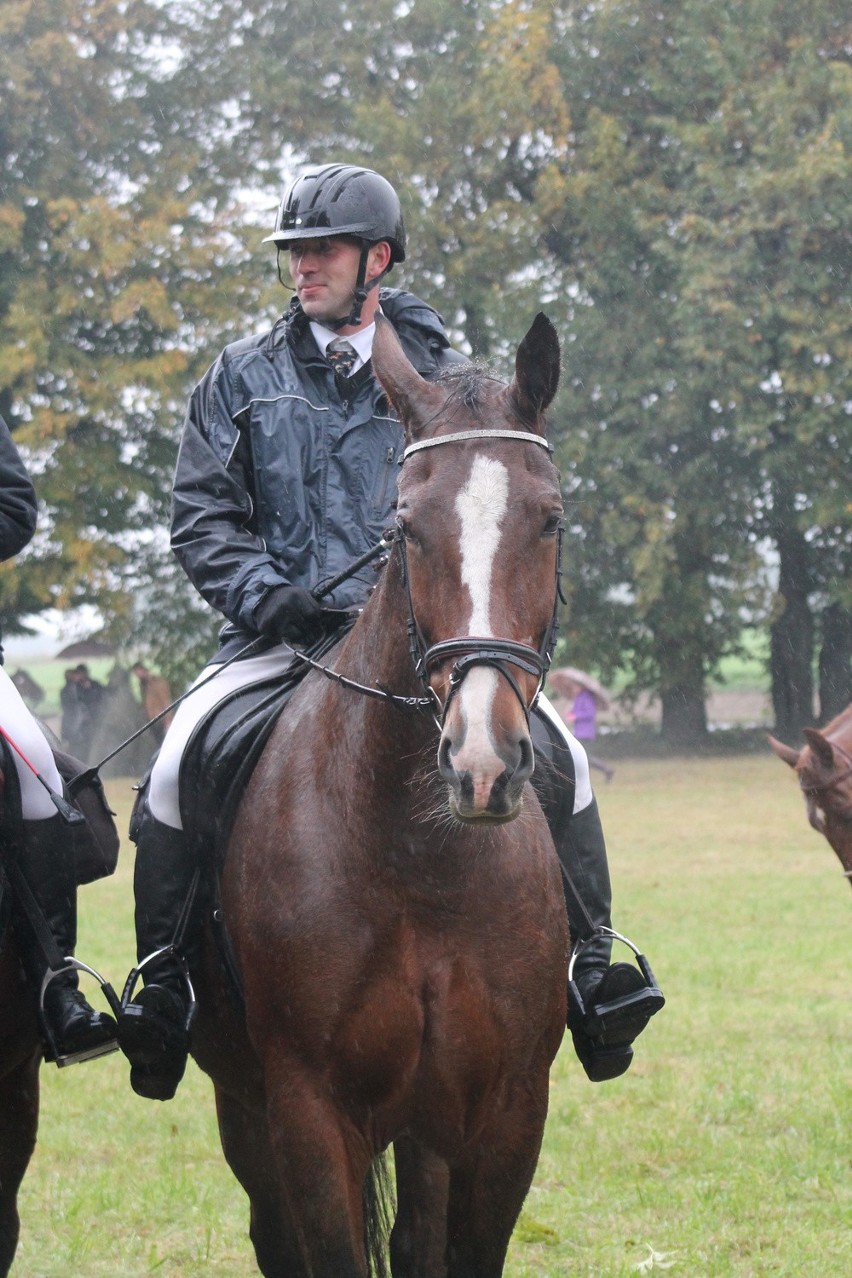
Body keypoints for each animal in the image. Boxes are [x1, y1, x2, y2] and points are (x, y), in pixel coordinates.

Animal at [190, 311, 569, 1278]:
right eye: (406, 525)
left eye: (550, 519)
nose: (481, 762)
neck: (417, 859)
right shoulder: (310, 1112)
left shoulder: (507, 1112)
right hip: (248, 1107)